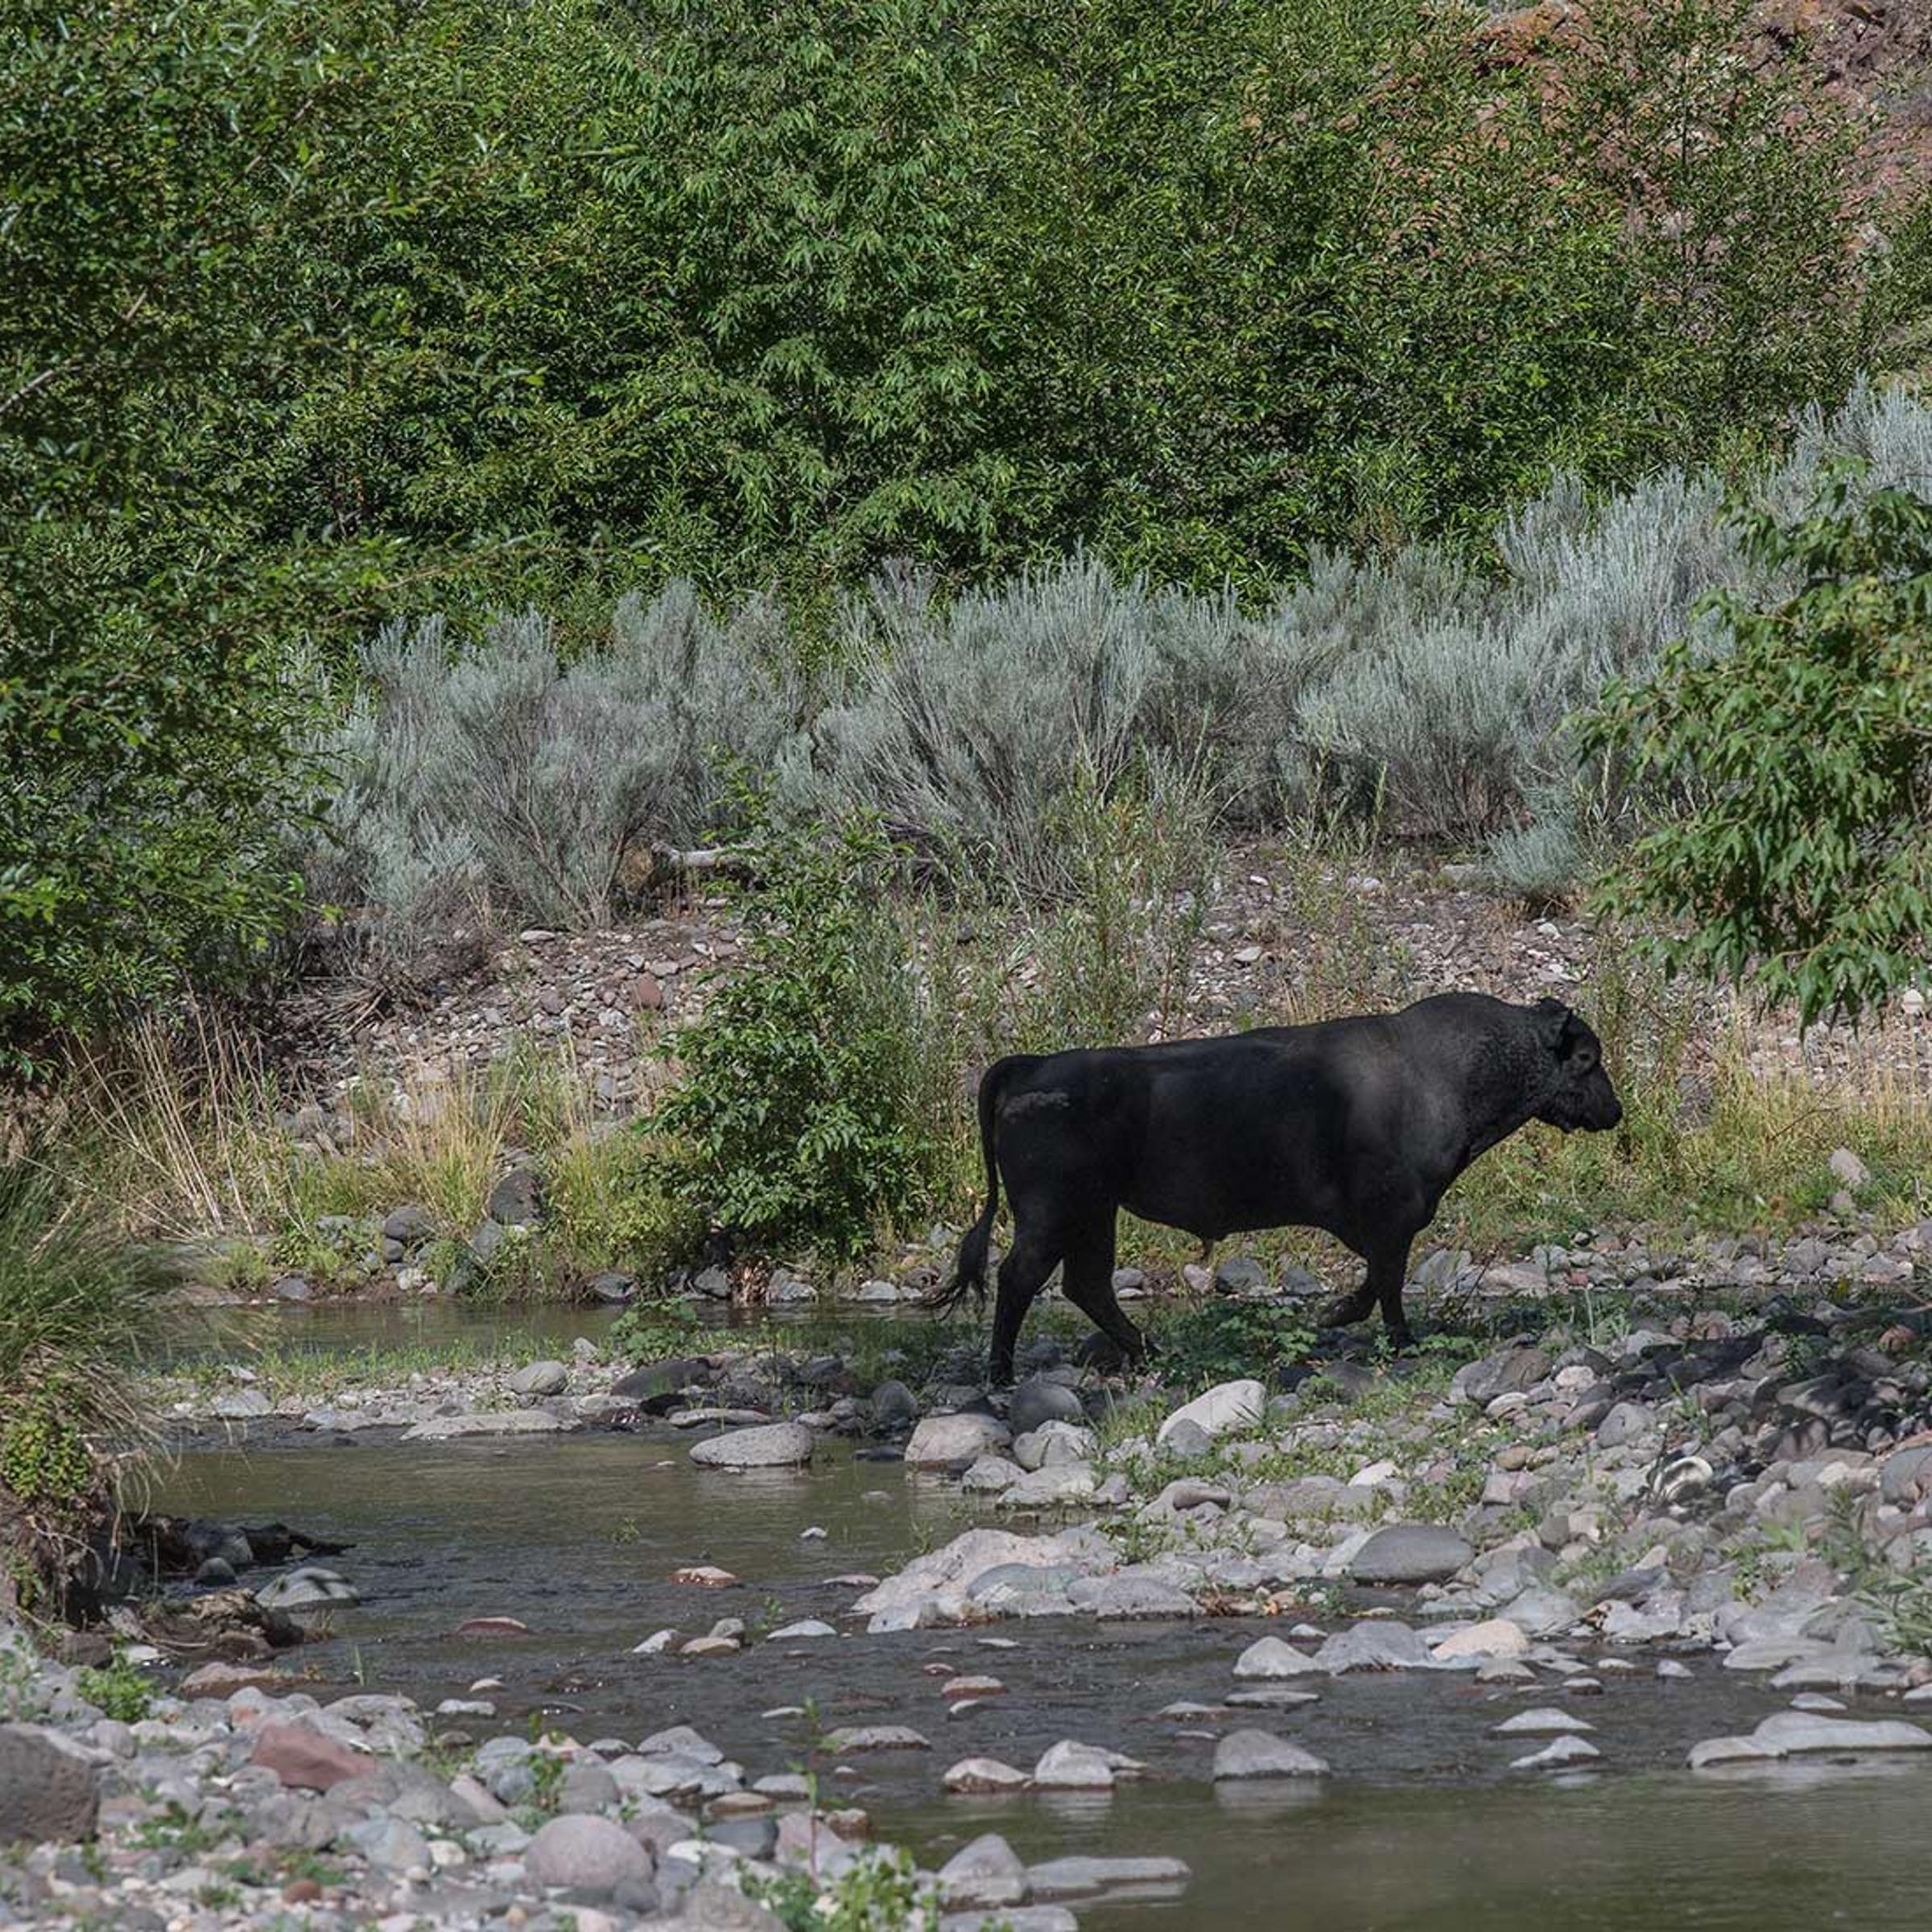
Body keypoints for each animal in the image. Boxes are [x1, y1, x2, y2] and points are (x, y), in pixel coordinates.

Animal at [932, 993, 1623, 1384]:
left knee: (1087, 1284)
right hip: (1054, 1213)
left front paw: (1338, 1315)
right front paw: (1388, 1334)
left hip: (1094, 1215)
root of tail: (1032, 1067)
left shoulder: (1389, 1222)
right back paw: (1002, 1374)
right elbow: (1388, 1281)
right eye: (1586, 1059)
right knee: (1022, 1278)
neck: (1446, 1070)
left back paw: (1150, 1350)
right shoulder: (1394, 1215)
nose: (1613, 1110)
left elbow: (1379, 1278)